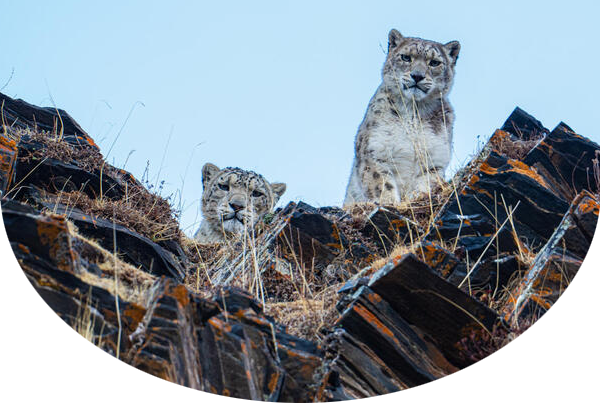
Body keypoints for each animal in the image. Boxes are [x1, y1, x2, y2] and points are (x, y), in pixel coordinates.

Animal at [342, 28, 460, 207]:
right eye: (405, 57)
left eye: (434, 62)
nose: (417, 76)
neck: (413, 112)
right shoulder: (375, 151)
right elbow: (381, 183)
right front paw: (388, 202)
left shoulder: (434, 160)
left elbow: (426, 184)